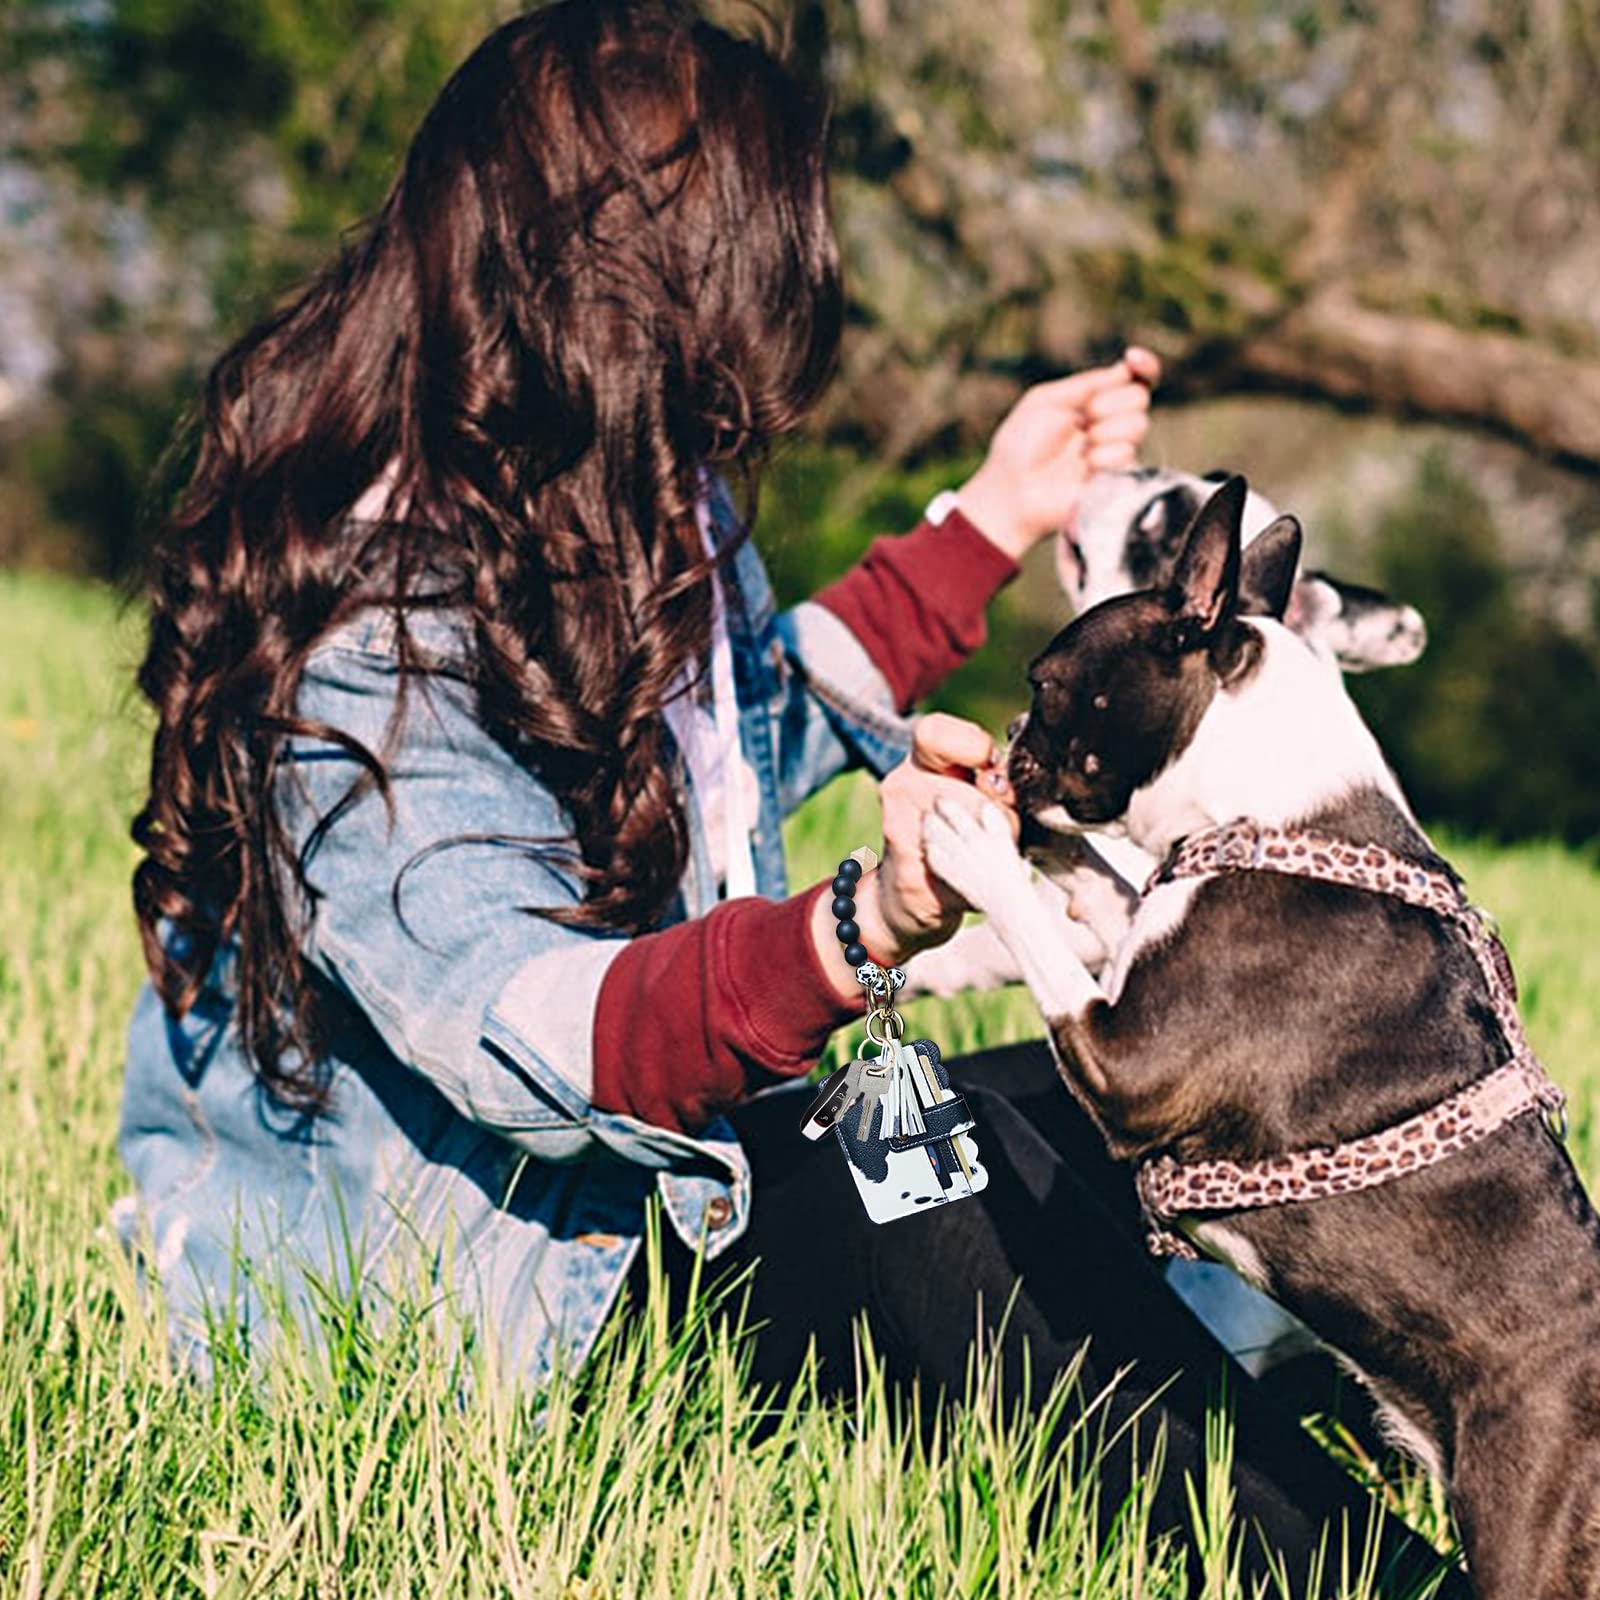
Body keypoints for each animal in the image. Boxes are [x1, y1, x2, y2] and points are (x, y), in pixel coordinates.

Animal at [921, 480, 1600, 1600]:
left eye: (1047, 687)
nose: (1011, 734)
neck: (1258, 811)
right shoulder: (1141, 944)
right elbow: (1109, 899)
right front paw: (1050, 850)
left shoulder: (1127, 1064)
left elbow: (1045, 948)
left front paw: (977, 843)